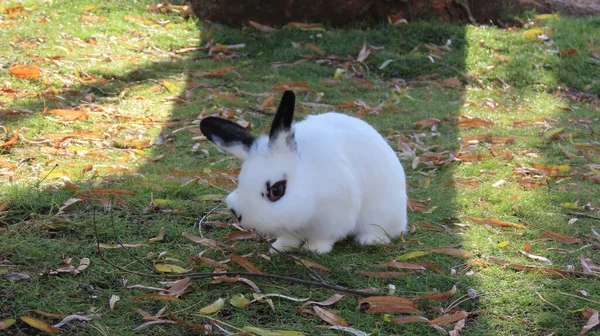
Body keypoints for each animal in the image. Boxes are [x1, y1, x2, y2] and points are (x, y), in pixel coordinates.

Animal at [200, 90, 408, 253]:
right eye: (241, 180)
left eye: (276, 190)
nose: (241, 216)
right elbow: (289, 237)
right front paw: (279, 247)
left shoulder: (334, 217)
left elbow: (323, 237)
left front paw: (314, 249)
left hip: (380, 213)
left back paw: (370, 240)